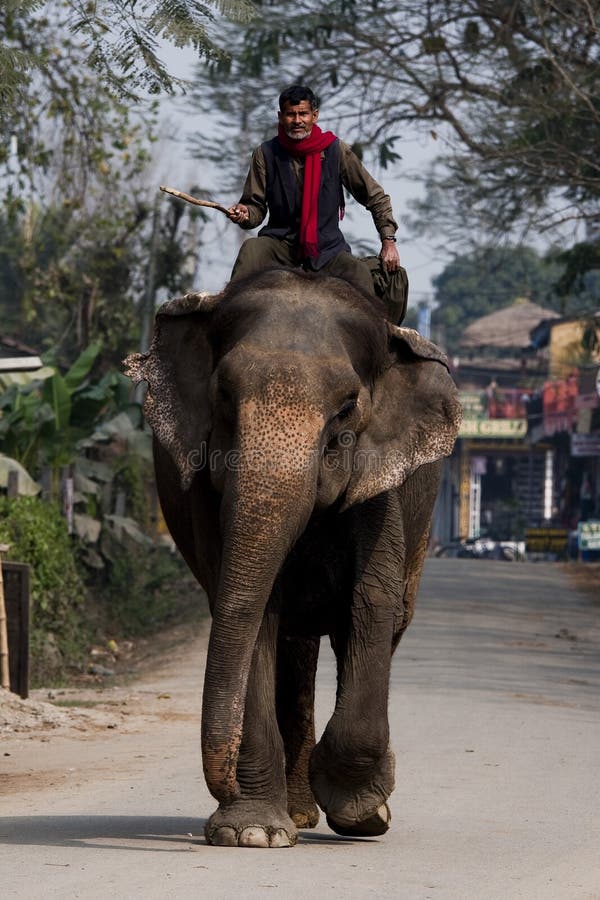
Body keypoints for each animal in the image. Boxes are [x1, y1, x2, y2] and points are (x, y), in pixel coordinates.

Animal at [125, 267, 461, 848]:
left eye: (347, 409)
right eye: (222, 395)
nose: (224, 782)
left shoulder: (381, 486)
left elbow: (371, 602)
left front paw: (362, 814)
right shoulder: (205, 489)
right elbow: (253, 608)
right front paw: (252, 832)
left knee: (384, 624)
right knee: (292, 644)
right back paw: (298, 815)